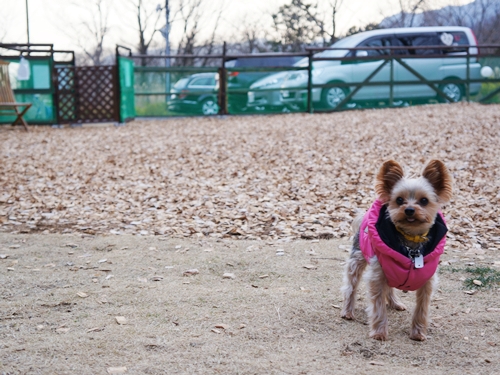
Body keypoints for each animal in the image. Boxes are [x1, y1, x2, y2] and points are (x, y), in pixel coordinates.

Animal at [342, 160, 452, 342]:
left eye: (424, 200)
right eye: (399, 200)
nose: (409, 209)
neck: (411, 243)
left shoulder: (427, 282)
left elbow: (422, 308)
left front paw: (418, 333)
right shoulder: (377, 275)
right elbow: (378, 306)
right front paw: (379, 332)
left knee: (390, 287)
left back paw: (395, 303)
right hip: (357, 260)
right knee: (351, 285)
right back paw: (347, 311)